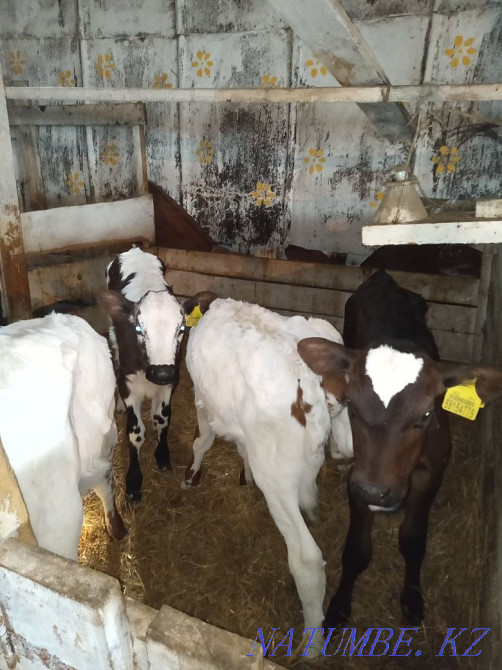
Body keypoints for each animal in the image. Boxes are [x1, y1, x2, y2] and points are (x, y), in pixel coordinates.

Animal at [98, 246, 187, 503]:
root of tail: (134, 249)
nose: (161, 371)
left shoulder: (171, 381)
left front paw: (163, 456)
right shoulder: (129, 384)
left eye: (181, 328)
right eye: (138, 328)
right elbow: (135, 433)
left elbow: (162, 419)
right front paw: (133, 483)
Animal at [182, 295, 353, 656]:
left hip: (276, 479)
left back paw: (312, 644)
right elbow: (241, 449)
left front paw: (190, 476)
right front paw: (243, 475)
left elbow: (202, 441)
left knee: (306, 559)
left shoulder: (202, 400)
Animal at [298, 270, 502, 629]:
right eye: (352, 407)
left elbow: (412, 540)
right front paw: (338, 606)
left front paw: (412, 599)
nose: (375, 492)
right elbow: (356, 550)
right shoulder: (358, 479)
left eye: (425, 415)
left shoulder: (433, 472)